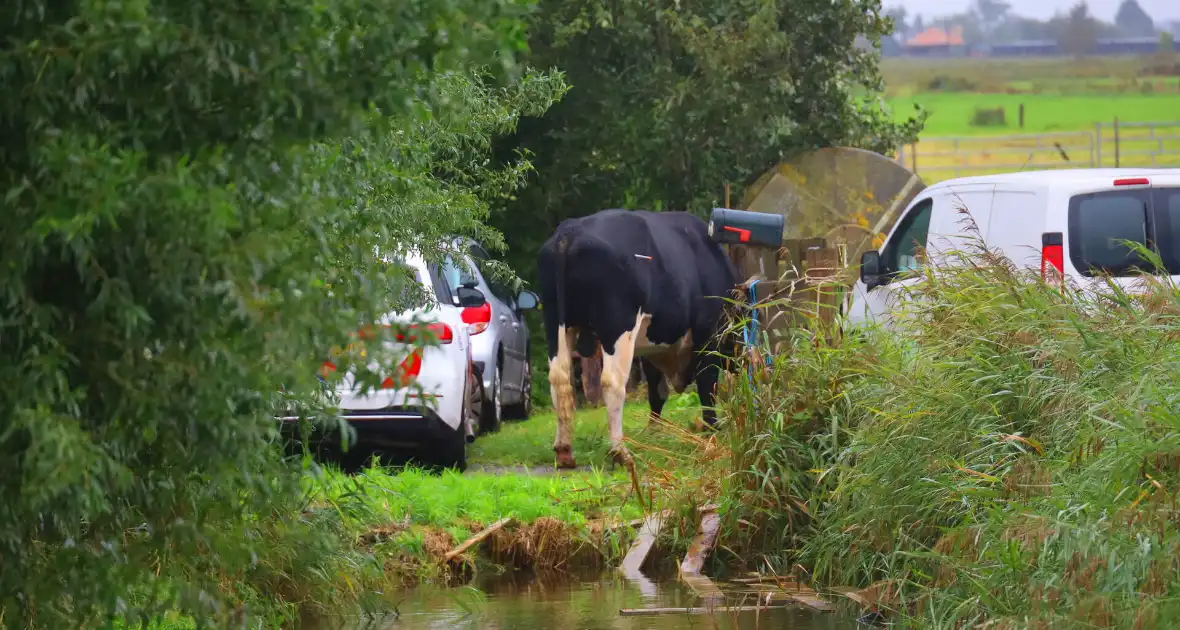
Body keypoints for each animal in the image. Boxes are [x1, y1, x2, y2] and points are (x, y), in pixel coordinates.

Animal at [535, 211, 736, 469]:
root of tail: (570, 232)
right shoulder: (708, 334)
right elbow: (707, 385)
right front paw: (712, 429)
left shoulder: (651, 348)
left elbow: (657, 392)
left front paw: (654, 432)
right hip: (617, 323)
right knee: (612, 382)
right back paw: (620, 452)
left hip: (556, 321)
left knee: (559, 378)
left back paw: (564, 451)